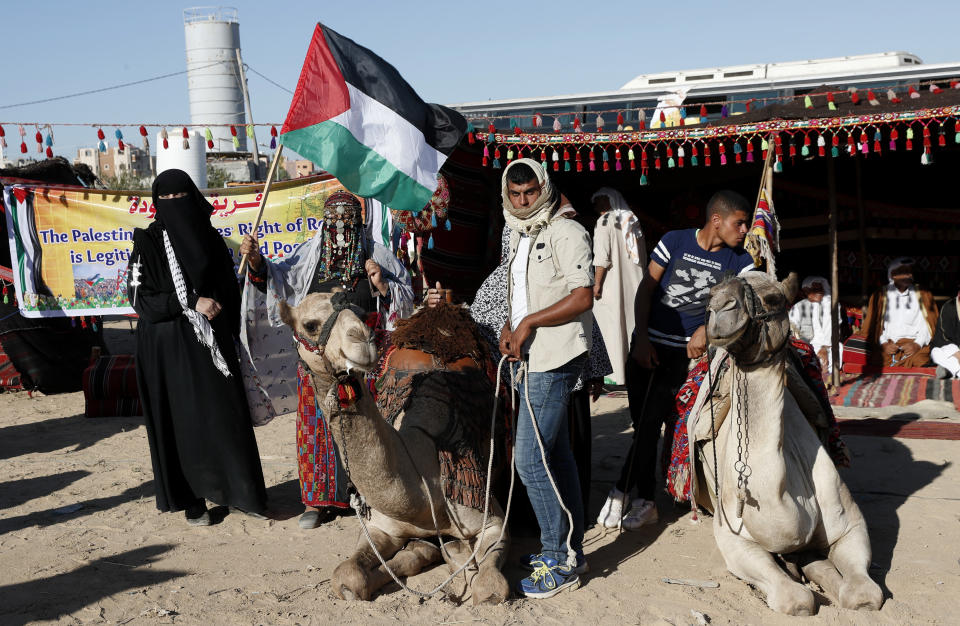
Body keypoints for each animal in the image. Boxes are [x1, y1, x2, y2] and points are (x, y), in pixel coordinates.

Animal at [278, 294, 510, 604]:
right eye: (310, 324)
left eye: (361, 311)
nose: (361, 339)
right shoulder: (381, 528)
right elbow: (347, 576)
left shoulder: (491, 520)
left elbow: (490, 588)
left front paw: (464, 562)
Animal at [688, 274, 884, 616]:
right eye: (710, 296)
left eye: (773, 299)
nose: (720, 306)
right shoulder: (733, 539)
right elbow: (796, 599)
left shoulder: (851, 525)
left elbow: (863, 594)